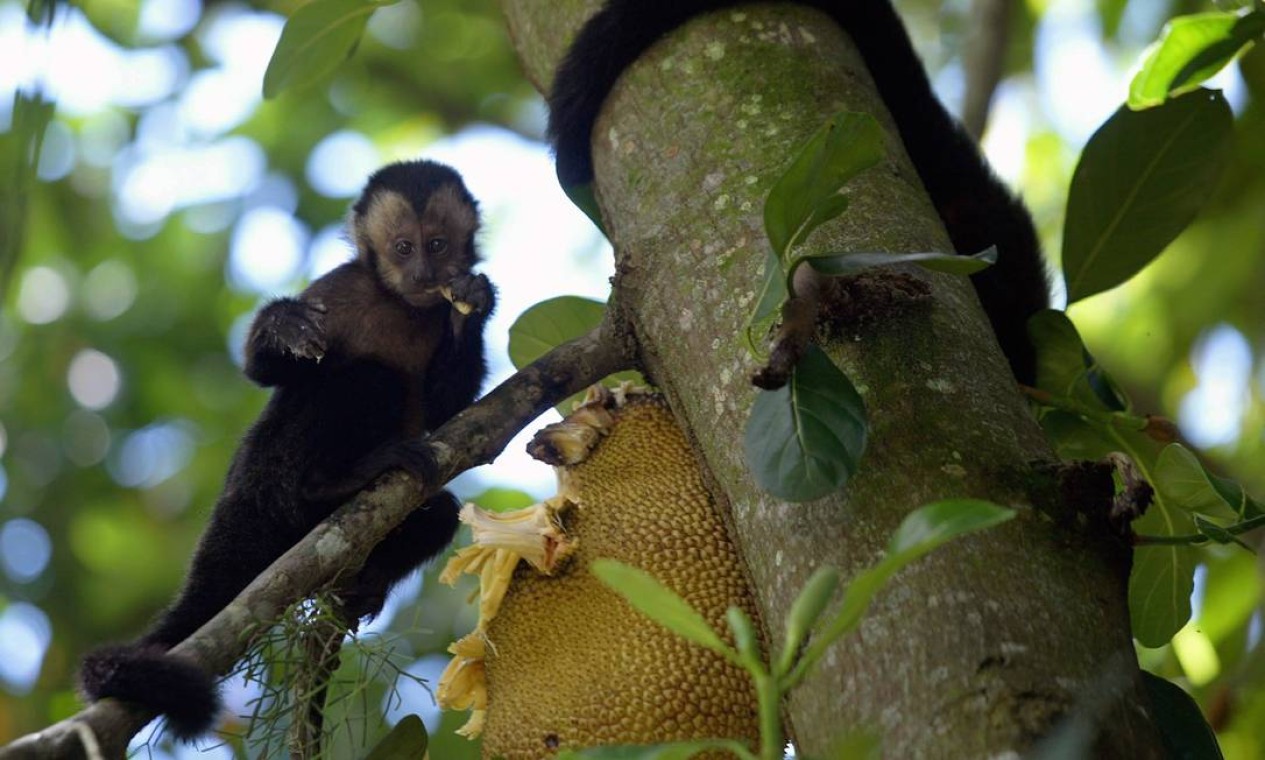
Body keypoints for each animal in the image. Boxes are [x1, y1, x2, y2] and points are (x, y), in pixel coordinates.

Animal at [80, 158, 493, 733]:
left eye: (436, 245)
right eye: (403, 248)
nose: (423, 275)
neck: (399, 303)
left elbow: (447, 407)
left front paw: (472, 304)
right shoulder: (336, 289)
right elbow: (263, 372)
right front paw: (280, 324)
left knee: (438, 513)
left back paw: (364, 584)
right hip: (269, 473)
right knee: (364, 380)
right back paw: (330, 484)